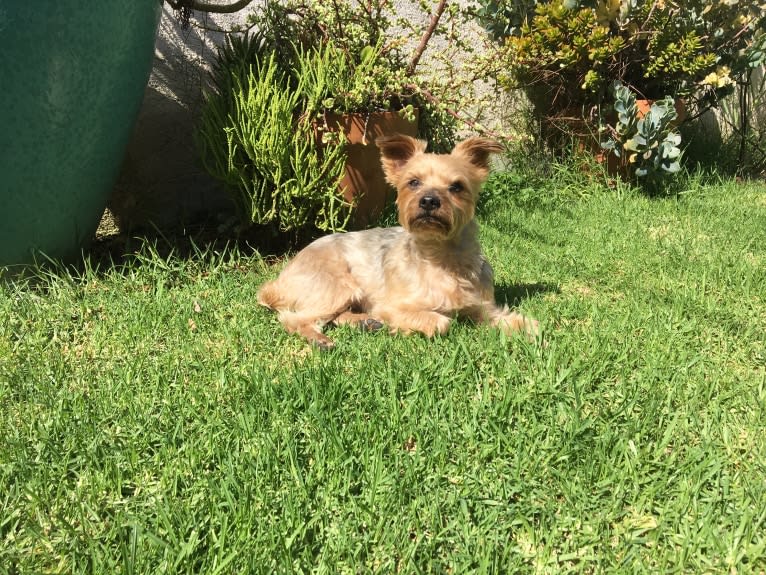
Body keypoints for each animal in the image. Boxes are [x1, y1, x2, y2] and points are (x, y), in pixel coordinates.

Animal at [258, 134, 540, 352]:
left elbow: (526, 324)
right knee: (293, 318)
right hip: (336, 286)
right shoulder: (390, 306)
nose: (429, 200)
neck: (441, 257)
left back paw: (363, 322)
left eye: (457, 187)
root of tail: (278, 280)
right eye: (413, 182)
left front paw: (532, 333)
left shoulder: (482, 307)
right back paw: (321, 338)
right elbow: (441, 322)